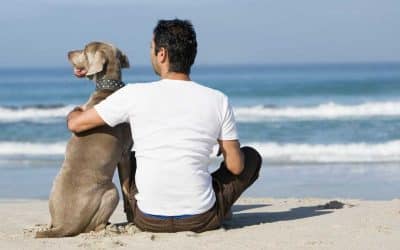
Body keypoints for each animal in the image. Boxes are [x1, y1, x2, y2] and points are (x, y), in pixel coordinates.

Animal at [35, 42, 134, 237]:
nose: (68, 53)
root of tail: (65, 225)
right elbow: (126, 188)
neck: (108, 88)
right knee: (96, 226)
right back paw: (113, 227)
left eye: (84, 50)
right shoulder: (125, 153)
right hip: (111, 192)